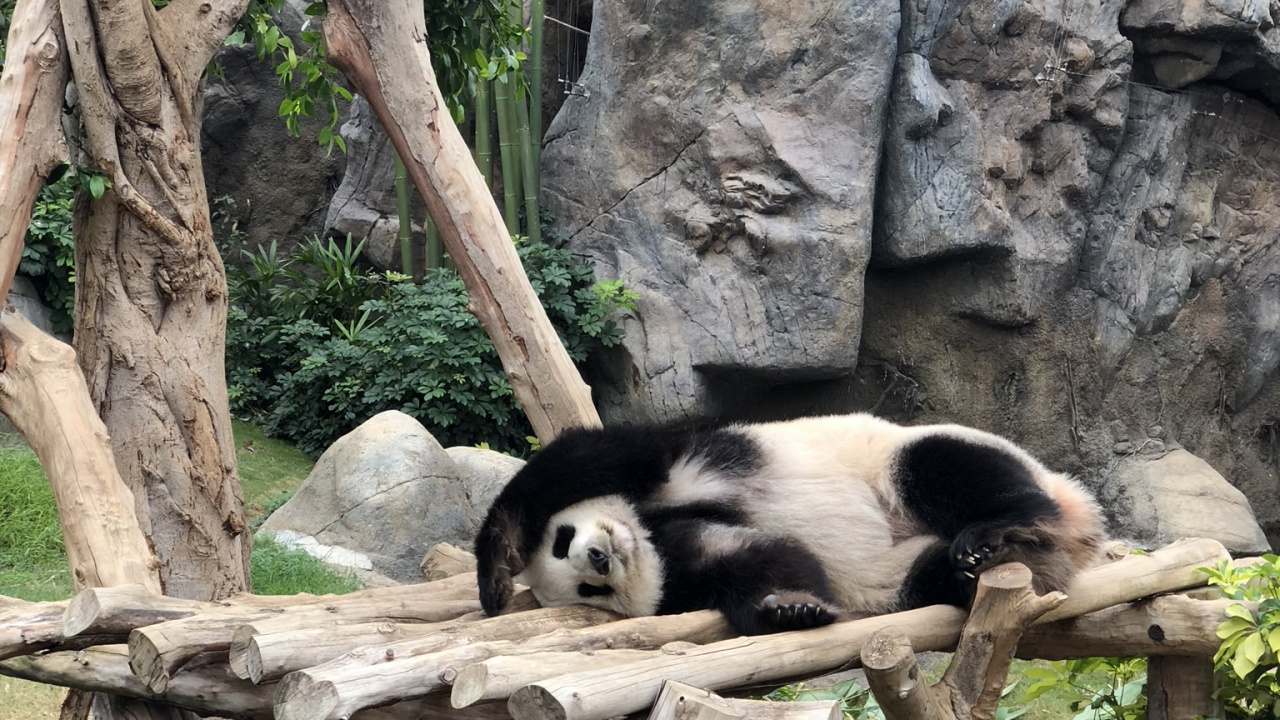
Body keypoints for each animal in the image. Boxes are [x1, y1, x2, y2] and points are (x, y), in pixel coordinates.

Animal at [475, 413, 1106, 636]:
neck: (647, 530)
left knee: (944, 466)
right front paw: (792, 609)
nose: (601, 558)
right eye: (588, 591)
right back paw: (985, 568)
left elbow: (590, 458)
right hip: (902, 571)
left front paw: (497, 571)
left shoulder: (676, 464)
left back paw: (997, 528)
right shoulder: (681, 571)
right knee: (930, 575)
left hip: (898, 457)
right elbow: (758, 559)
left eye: (563, 541)